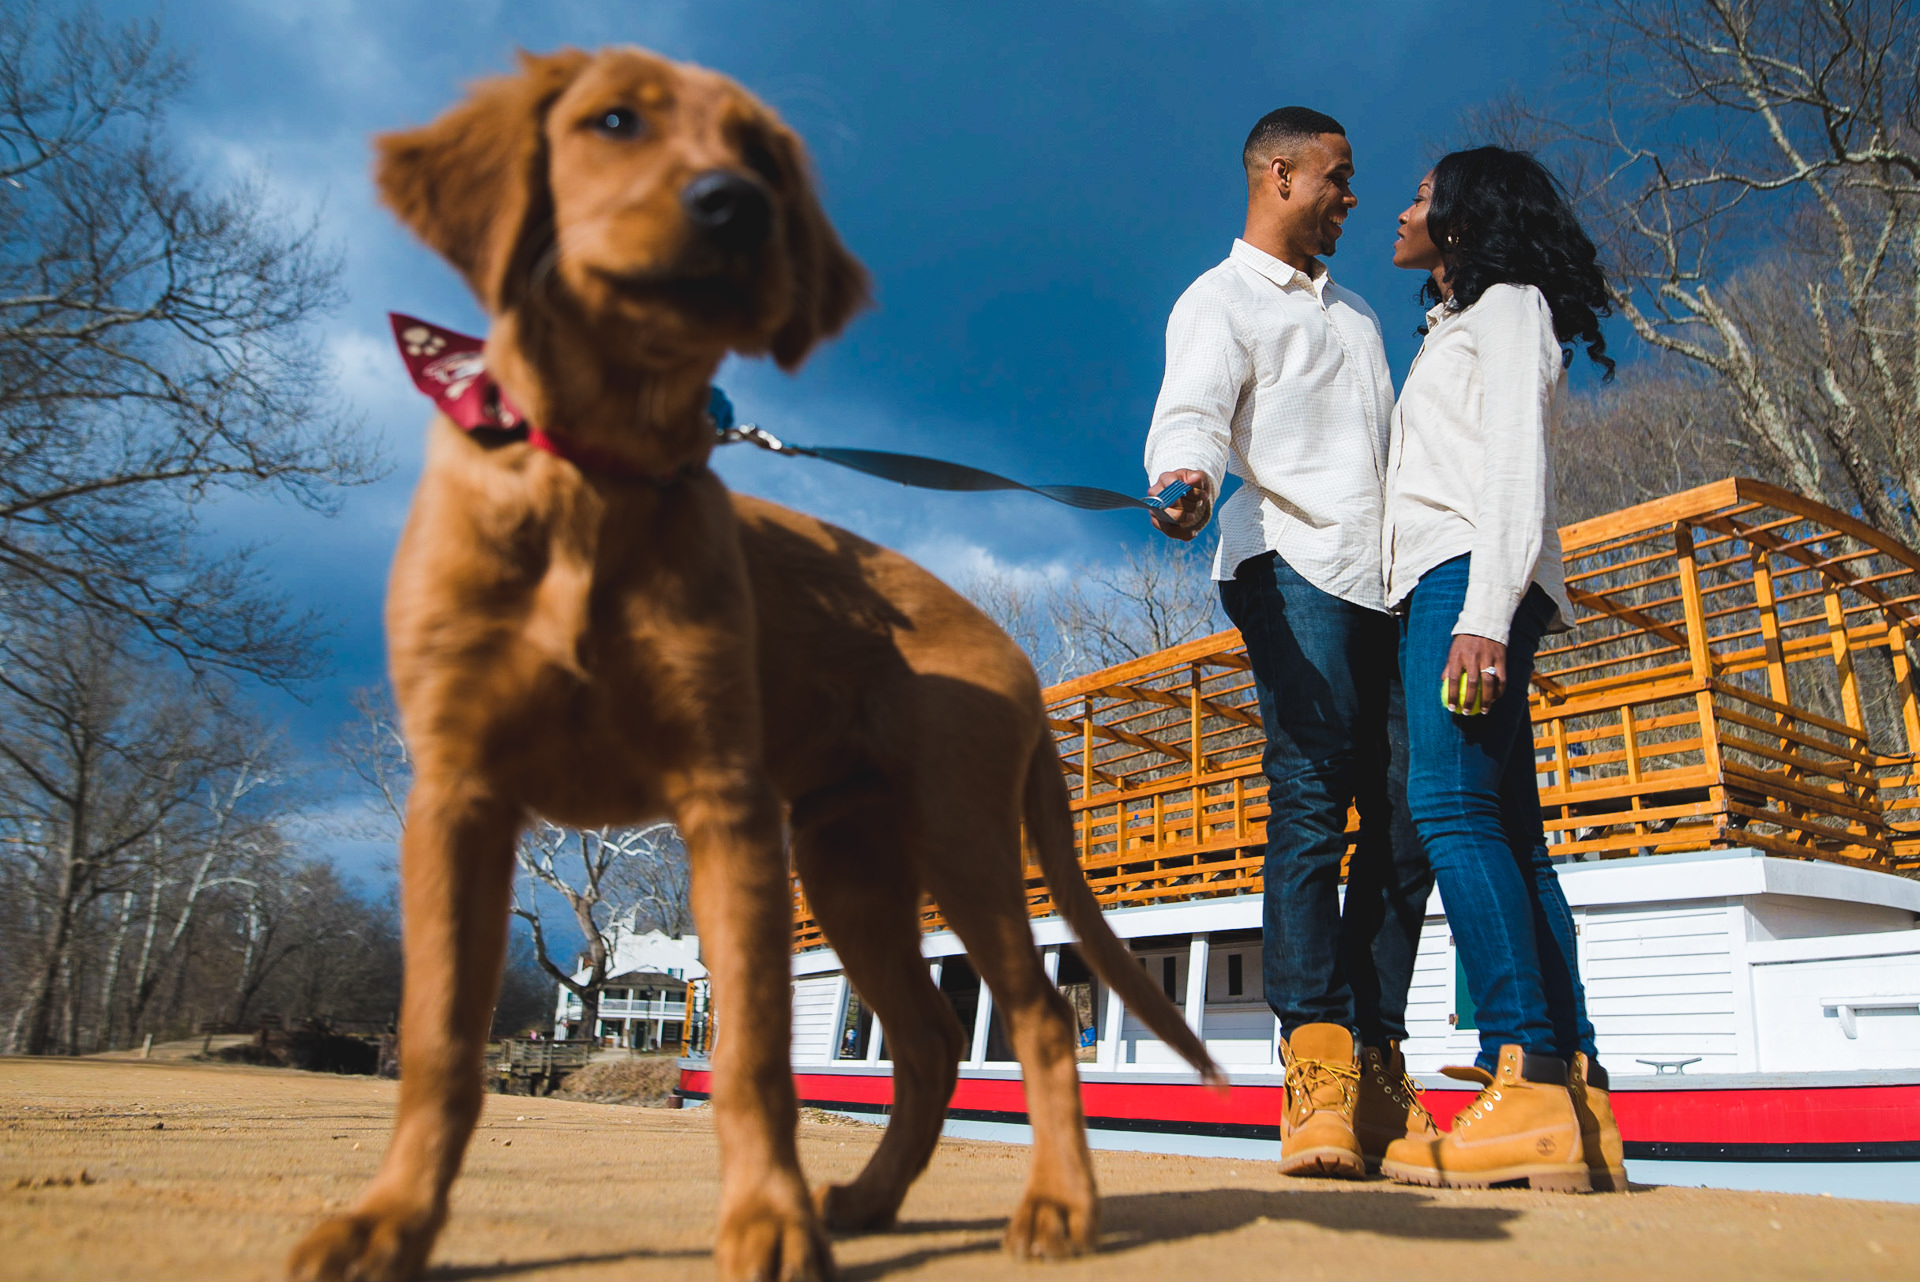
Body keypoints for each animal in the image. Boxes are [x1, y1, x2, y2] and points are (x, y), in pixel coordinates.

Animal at [284, 45, 1213, 1274]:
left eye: (768, 156)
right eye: (612, 121)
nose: (737, 207)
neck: (598, 470)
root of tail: (1017, 661)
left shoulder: (724, 801)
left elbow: (756, 1055)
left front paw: (765, 1223)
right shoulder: (456, 798)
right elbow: (438, 1039)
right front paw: (389, 1222)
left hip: (954, 840)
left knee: (1036, 1016)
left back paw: (1057, 1207)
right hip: (850, 859)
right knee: (930, 1042)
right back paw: (872, 1198)